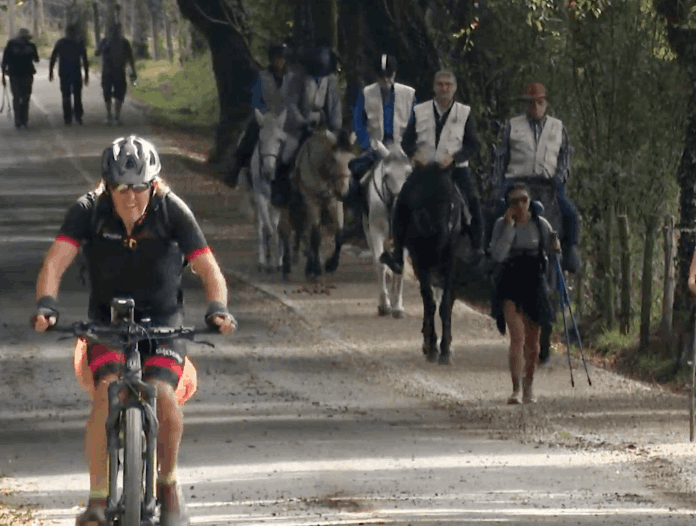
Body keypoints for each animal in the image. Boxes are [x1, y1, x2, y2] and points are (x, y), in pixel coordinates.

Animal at [251, 106, 300, 272]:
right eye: (260, 140)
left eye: (279, 141)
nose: (268, 172)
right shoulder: (260, 197)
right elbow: (268, 227)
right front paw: (268, 260)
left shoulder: (280, 200)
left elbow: (277, 227)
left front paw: (279, 260)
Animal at [364, 144, 414, 318]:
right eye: (386, 175)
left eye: (408, 174)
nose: (400, 207)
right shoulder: (376, 233)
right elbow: (381, 265)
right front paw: (384, 305)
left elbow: (401, 266)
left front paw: (397, 306)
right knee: (377, 261)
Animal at [380, 163, 468, 366]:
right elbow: (443, 301)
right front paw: (443, 347)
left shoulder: (423, 263)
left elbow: (430, 300)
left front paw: (431, 345)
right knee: (442, 303)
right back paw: (443, 349)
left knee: (430, 301)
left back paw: (433, 347)